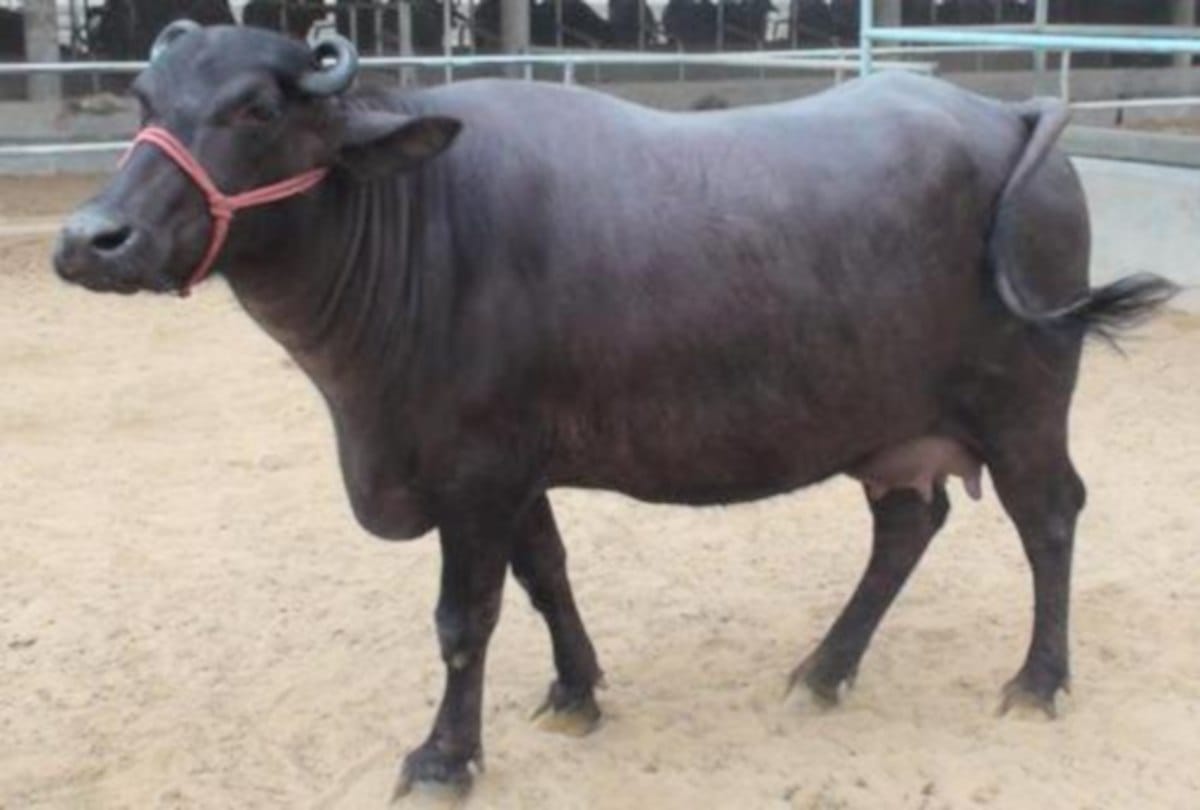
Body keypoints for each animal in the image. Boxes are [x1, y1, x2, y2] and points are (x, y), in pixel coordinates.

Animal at [53, 22, 1177, 797]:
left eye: (255, 108)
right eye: (143, 96)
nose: (90, 238)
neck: (418, 229)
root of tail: (1007, 115)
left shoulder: (476, 473)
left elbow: (465, 618)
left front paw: (445, 757)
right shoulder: (515, 470)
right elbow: (547, 578)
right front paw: (575, 694)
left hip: (1026, 401)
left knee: (1050, 518)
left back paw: (1037, 681)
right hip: (891, 426)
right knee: (908, 526)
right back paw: (823, 669)